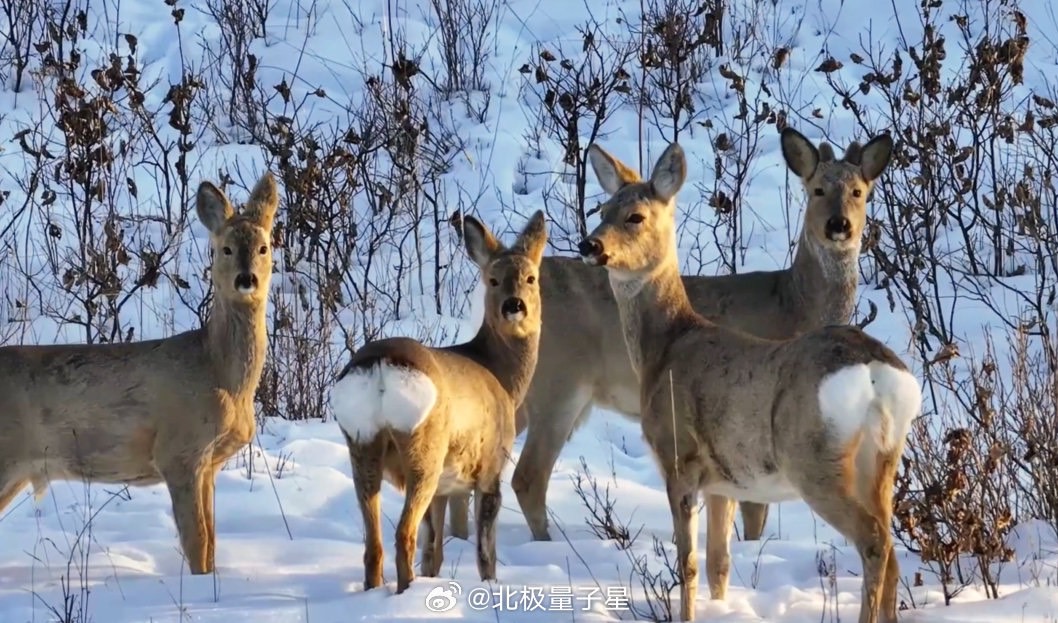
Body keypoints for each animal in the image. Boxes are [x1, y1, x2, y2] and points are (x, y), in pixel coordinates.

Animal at [0, 171, 279, 575]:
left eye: (264, 247)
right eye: (225, 249)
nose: (246, 280)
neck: (221, 375)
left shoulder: (208, 464)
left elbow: (212, 542)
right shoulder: (178, 451)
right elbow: (197, 543)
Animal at [327, 209, 545, 592]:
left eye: (530, 278)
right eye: (493, 279)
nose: (514, 305)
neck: (500, 374)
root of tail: (380, 366)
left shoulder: (445, 489)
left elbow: (435, 552)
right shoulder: (490, 467)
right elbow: (484, 552)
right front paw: (490, 588)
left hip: (361, 444)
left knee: (375, 544)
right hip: (423, 449)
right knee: (403, 535)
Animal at [459, 125, 897, 539]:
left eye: (859, 191)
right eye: (817, 189)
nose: (838, 225)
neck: (794, 302)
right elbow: (754, 516)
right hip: (559, 384)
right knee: (528, 476)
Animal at [579, 141, 918, 621]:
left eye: (636, 216)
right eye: (603, 209)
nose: (589, 244)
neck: (665, 345)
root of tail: (875, 372)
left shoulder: (679, 456)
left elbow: (687, 563)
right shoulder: (723, 481)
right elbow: (719, 562)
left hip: (814, 459)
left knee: (874, 541)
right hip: (883, 458)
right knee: (891, 547)